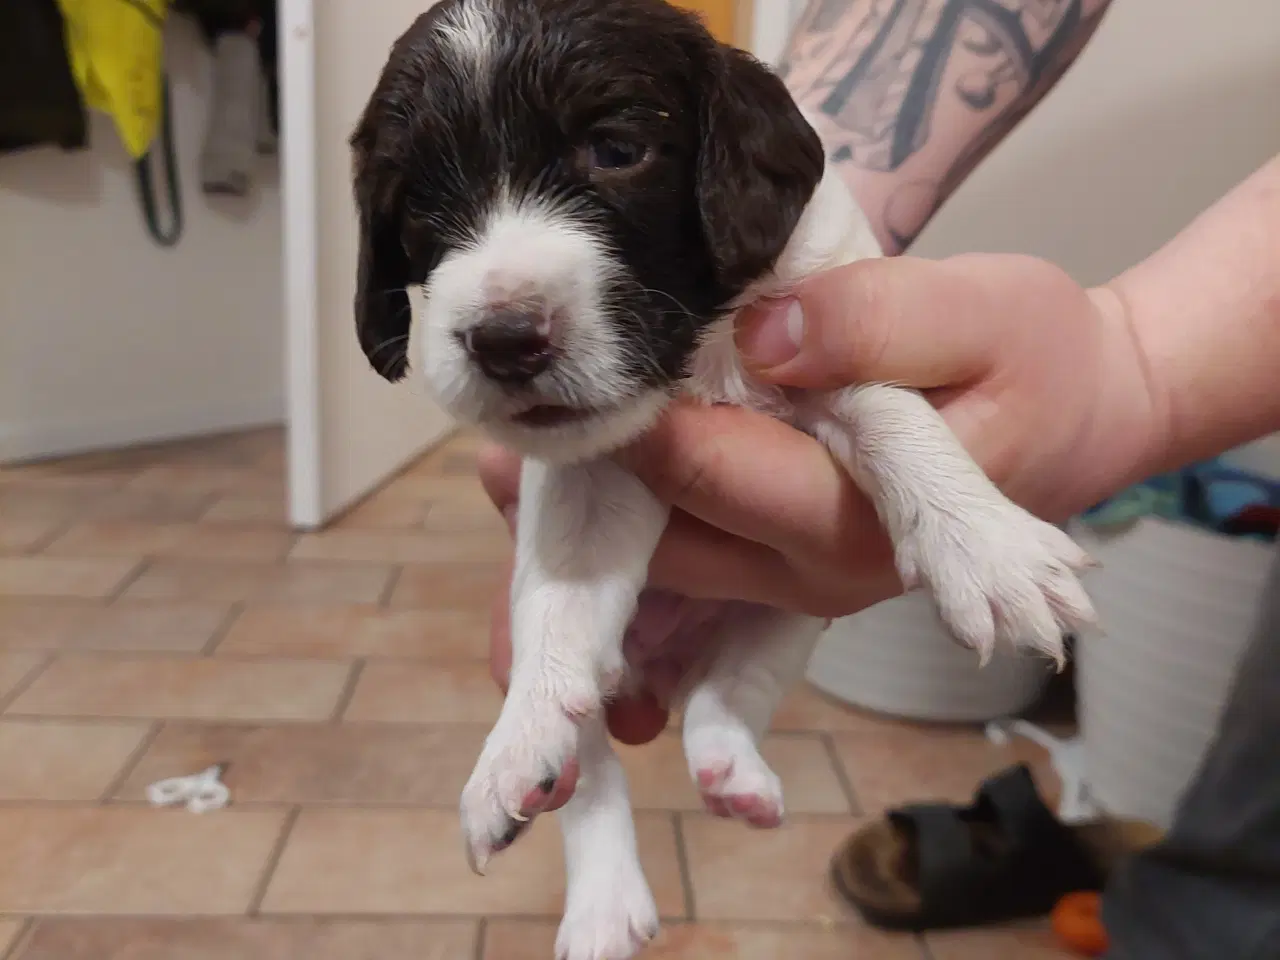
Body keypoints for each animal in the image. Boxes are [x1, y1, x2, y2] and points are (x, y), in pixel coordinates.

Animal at [353, 3, 1100, 957]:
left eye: (617, 149)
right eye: (414, 199)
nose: (504, 340)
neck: (697, 349)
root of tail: (664, 669)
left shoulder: (818, 329)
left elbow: (885, 406)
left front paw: (986, 547)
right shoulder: (585, 482)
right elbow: (559, 607)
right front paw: (518, 740)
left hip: (790, 619)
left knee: (731, 689)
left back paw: (729, 766)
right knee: (590, 770)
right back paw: (598, 894)